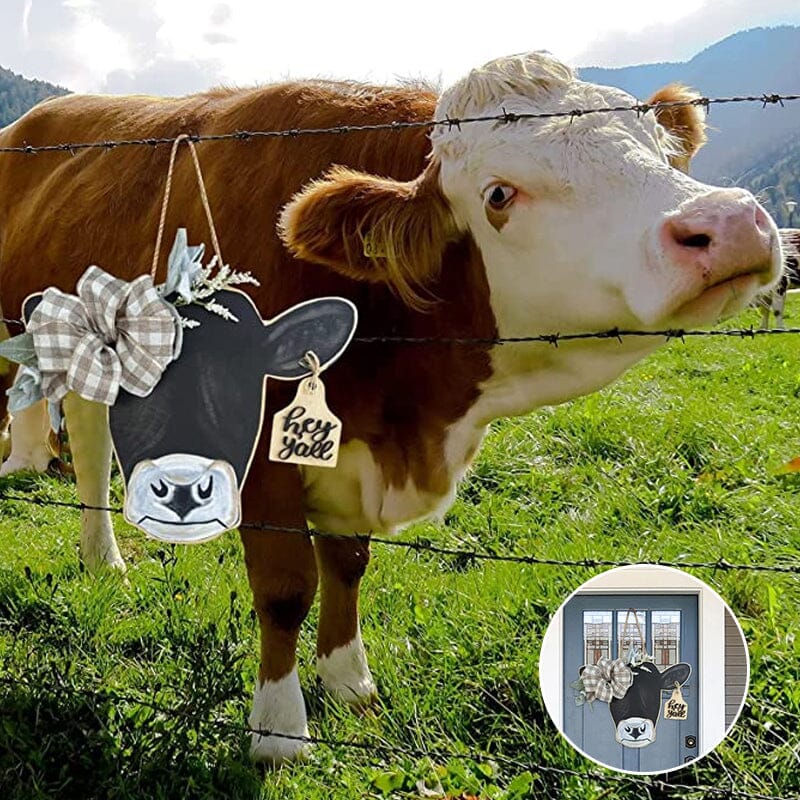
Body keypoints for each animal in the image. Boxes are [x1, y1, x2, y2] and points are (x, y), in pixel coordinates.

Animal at [0, 52, 782, 763]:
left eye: (659, 147)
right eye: (499, 195)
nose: (729, 222)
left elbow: (346, 565)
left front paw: (350, 681)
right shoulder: (263, 459)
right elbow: (285, 587)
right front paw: (279, 730)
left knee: (92, 448)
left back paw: (104, 562)